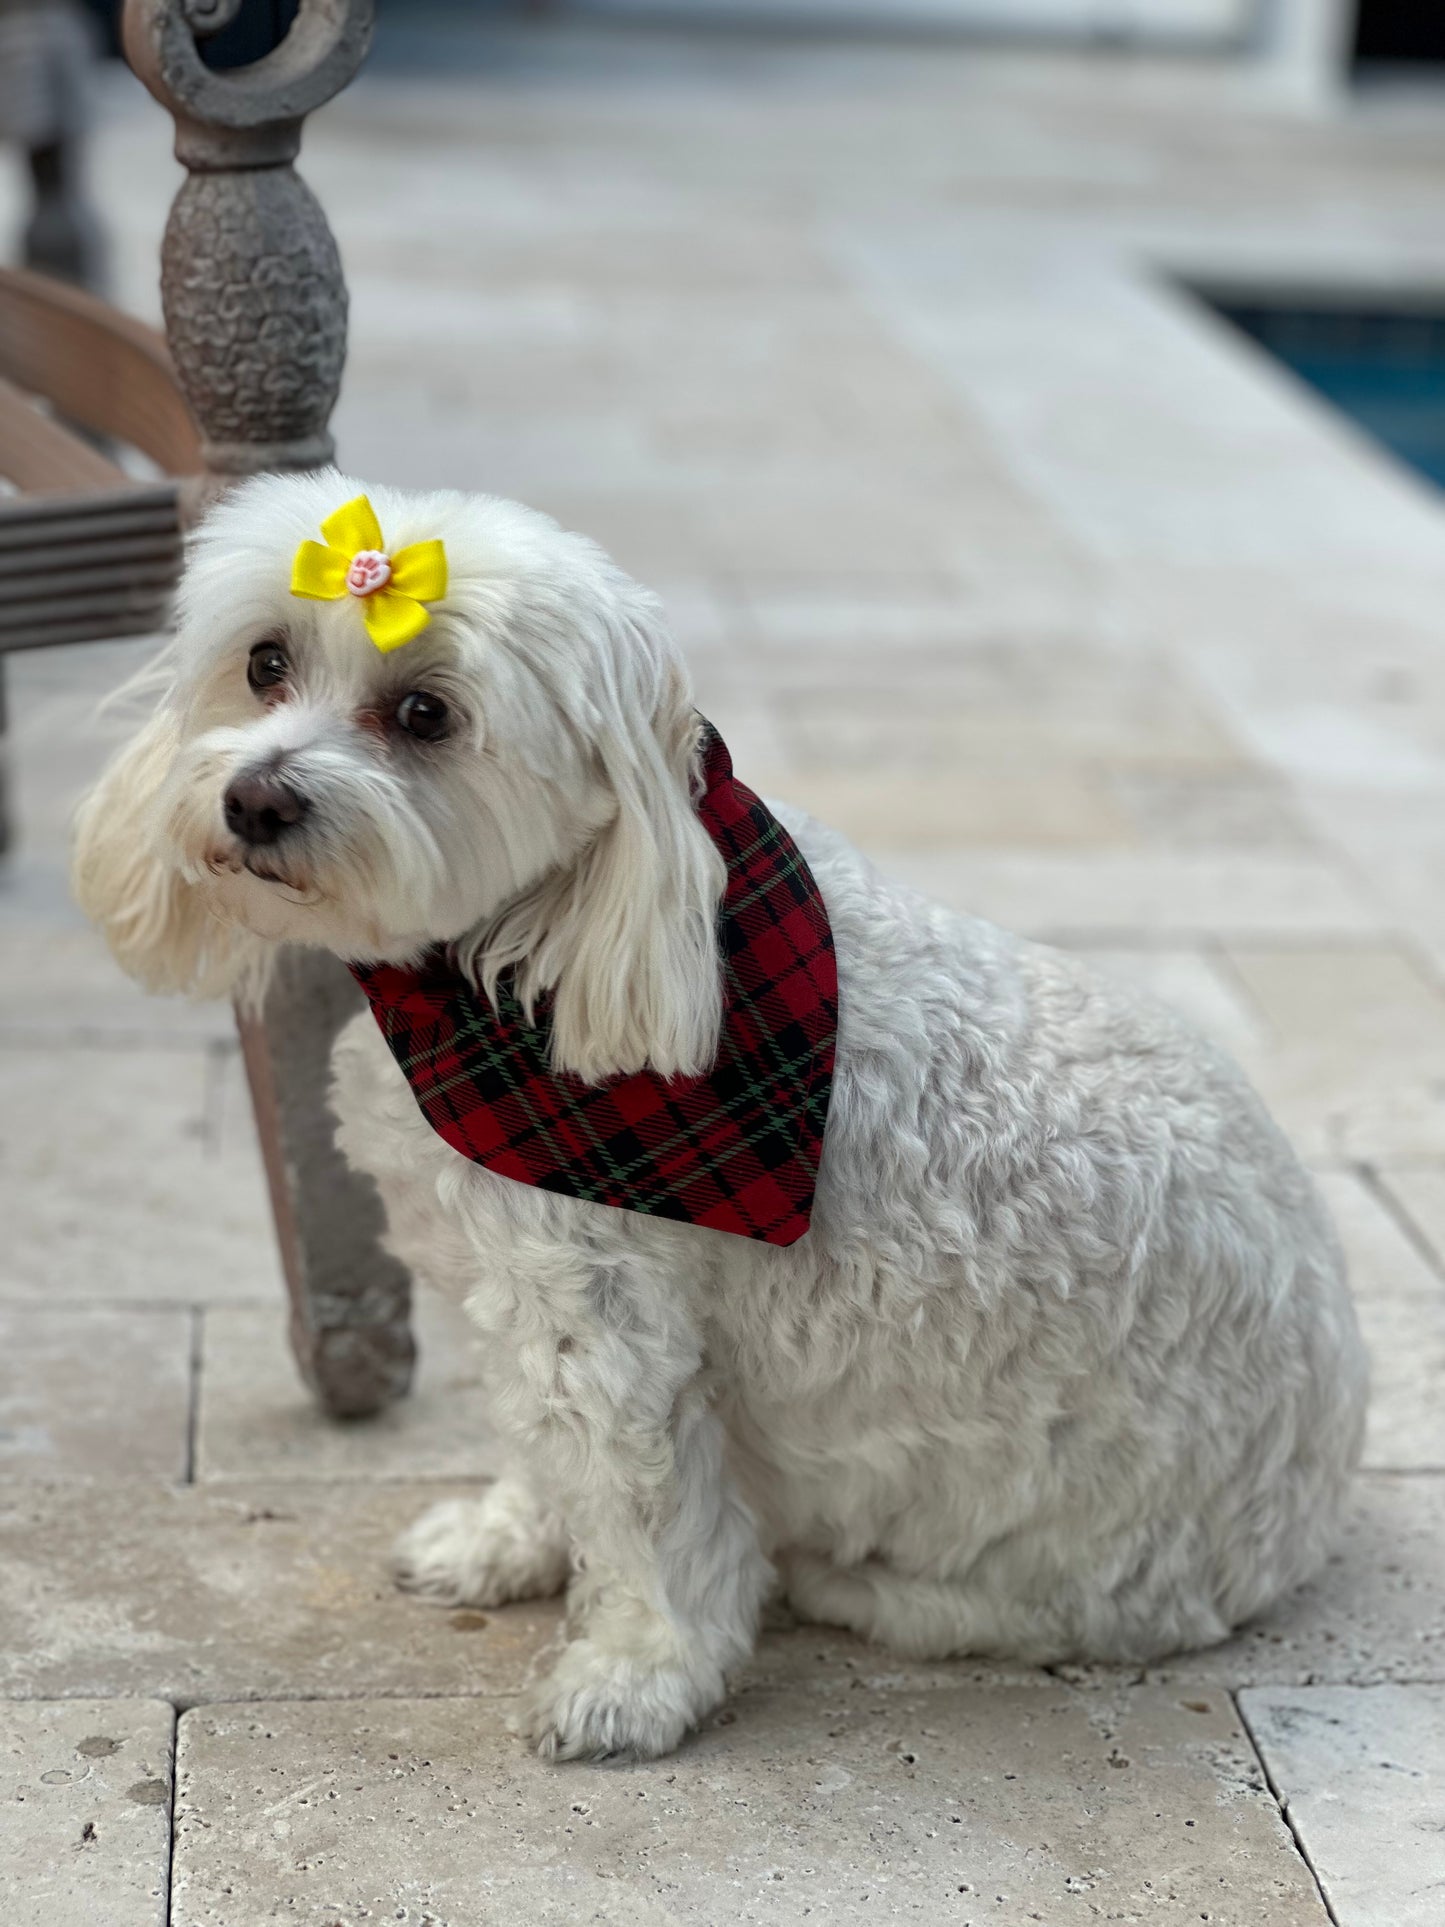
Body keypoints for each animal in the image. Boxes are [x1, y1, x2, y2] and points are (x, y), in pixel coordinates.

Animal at [76, 470, 1371, 1765]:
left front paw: (630, 1680)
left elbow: (641, 1511)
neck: (533, 955)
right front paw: (506, 1542)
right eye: (264, 663)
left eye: (426, 712)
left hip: (1082, 1555)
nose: (253, 798)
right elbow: (544, 1452)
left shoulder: (608, 1326)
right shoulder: (527, 1307)